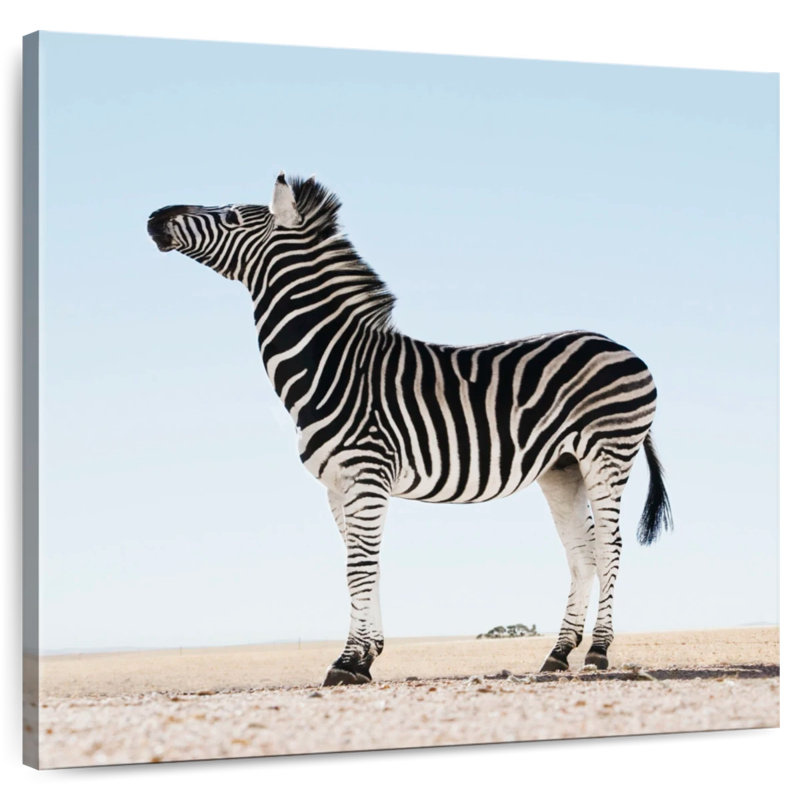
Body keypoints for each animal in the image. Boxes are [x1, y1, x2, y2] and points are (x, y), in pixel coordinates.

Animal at [147, 173, 672, 686]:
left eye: (232, 217)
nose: (155, 216)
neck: (334, 364)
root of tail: (622, 347)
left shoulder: (365, 474)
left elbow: (358, 568)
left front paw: (348, 662)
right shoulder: (339, 484)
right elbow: (366, 565)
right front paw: (367, 656)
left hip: (606, 454)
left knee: (609, 546)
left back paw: (598, 652)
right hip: (562, 468)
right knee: (582, 553)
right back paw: (558, 655)